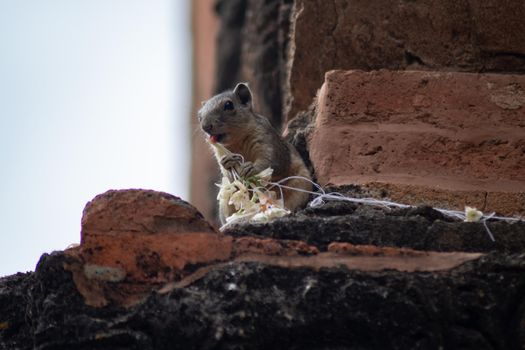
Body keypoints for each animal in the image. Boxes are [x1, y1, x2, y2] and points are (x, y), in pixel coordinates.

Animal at [196, 83, 312, 223]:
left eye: (229, 105)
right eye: (199, 116)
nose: (205, 126)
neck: (237, 140)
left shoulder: (268, 140)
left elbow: (272, 161)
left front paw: (251, 168)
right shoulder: (219, 152)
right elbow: (228, 174)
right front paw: (227, 163)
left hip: (300, 187)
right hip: (225, 204)